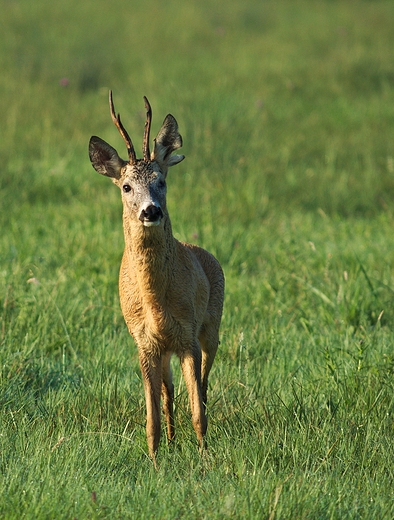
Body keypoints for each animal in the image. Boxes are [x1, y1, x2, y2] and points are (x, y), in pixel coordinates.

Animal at [89, 92, 225, 464]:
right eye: (126, 186)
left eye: (161, 181)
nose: (151, 210)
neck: (156, 301)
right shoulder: (145, 342)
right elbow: (150, 415)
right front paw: (153, 460)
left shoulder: (189, 335)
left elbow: (198, 411)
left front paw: (204, 458)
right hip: (167, 350)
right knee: (169, 391)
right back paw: (173, 440)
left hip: (212, 327)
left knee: (203, 387)